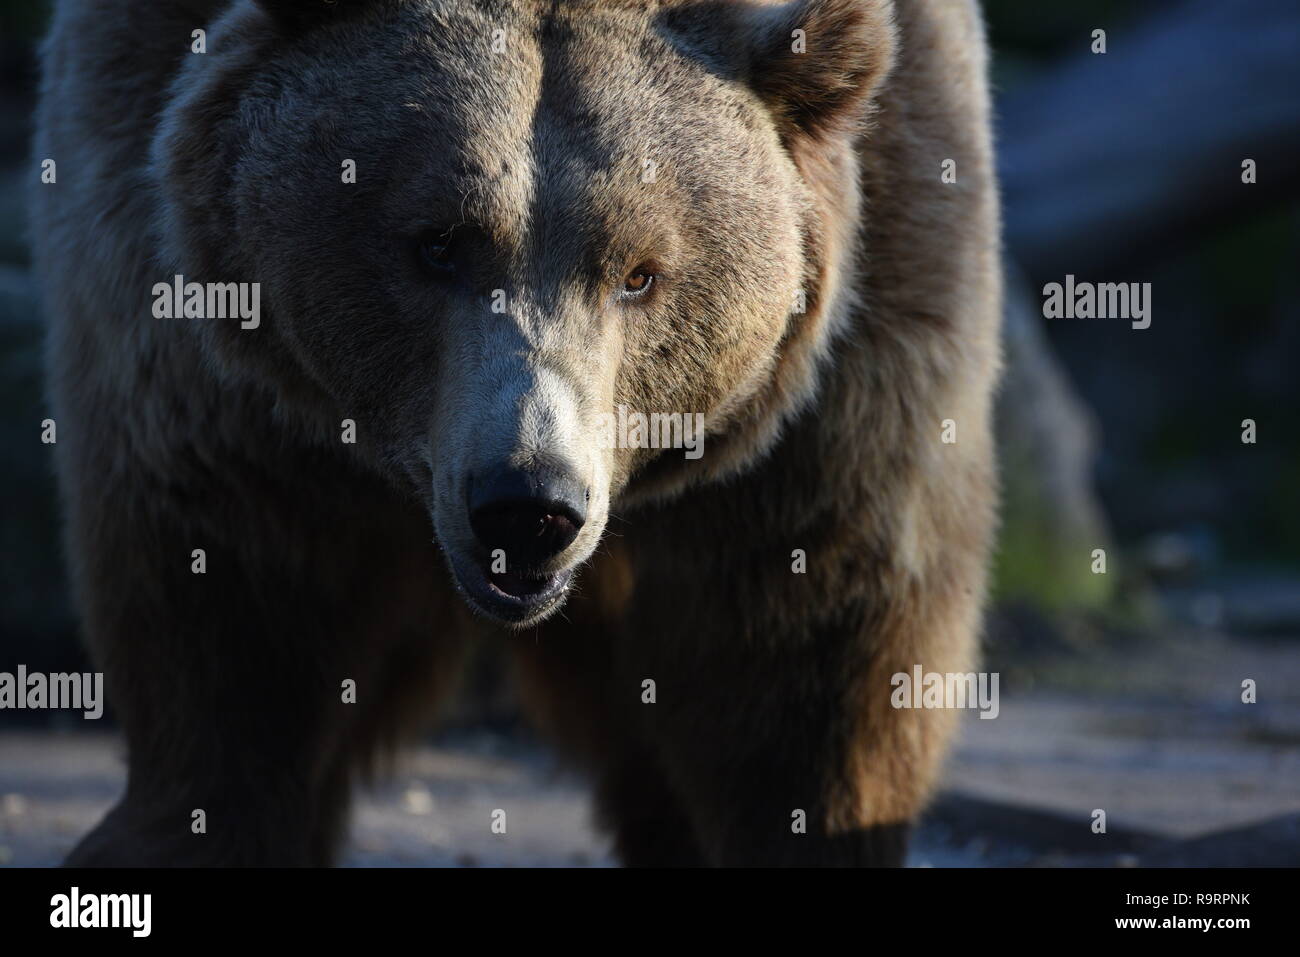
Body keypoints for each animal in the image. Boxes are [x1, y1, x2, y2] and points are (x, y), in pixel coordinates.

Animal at [32, 0, 1003, 868]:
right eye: (437, 242)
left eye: (640, 273)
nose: (528, 506)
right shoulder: (226, 381)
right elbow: (230, 603)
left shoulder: (843, 377)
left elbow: (818, 653)